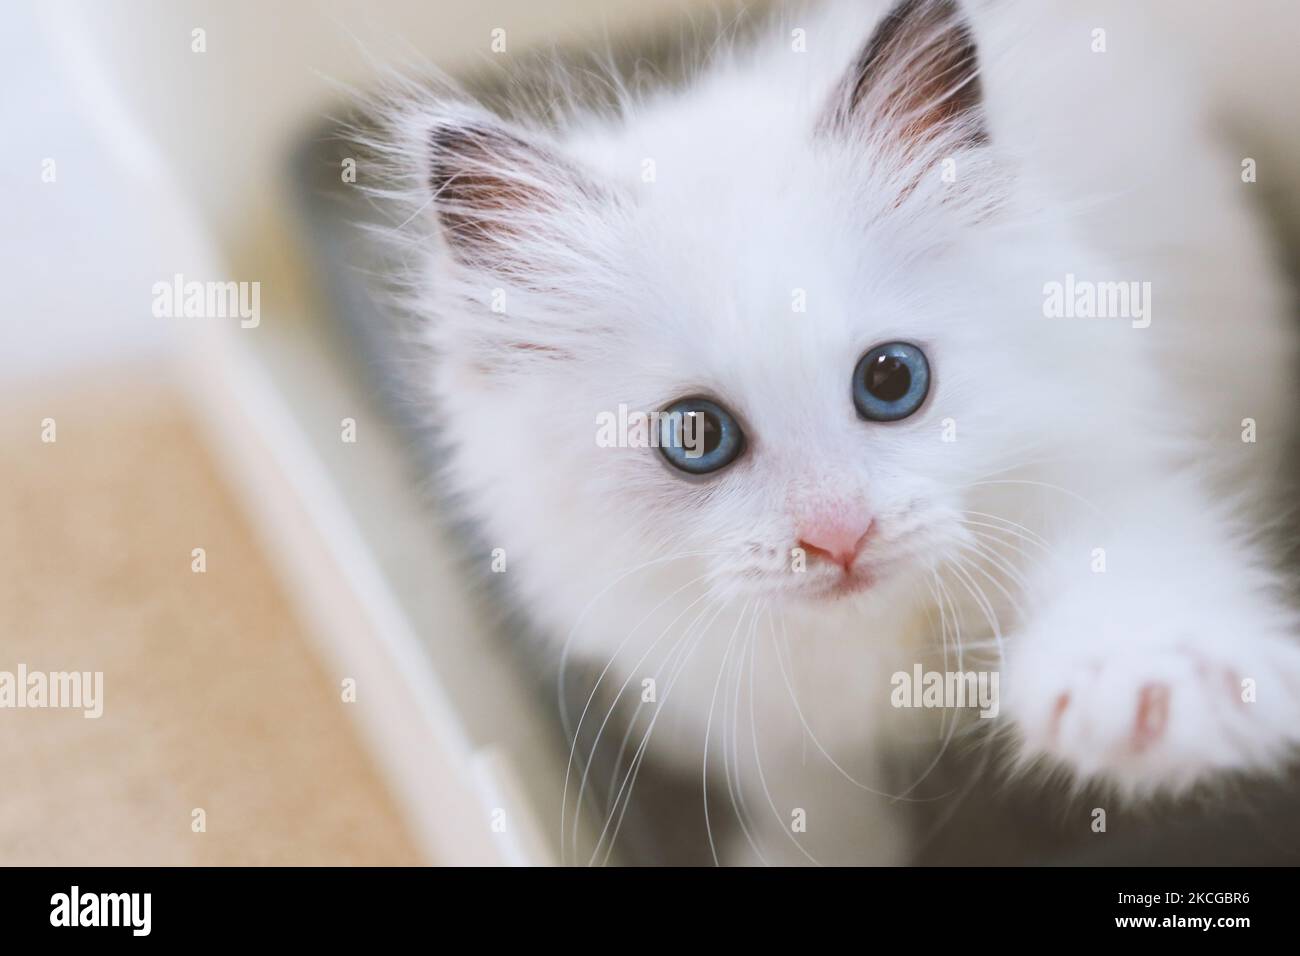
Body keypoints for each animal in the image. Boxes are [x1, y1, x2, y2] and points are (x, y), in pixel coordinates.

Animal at [377, 0, 1300, 863]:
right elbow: (812, 796)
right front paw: (808, 853)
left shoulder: (1094, 466)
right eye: (696, 437)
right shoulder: (738, 695)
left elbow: (1134, 572)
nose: (838, 536)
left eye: (892, 381)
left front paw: (1142, 695)